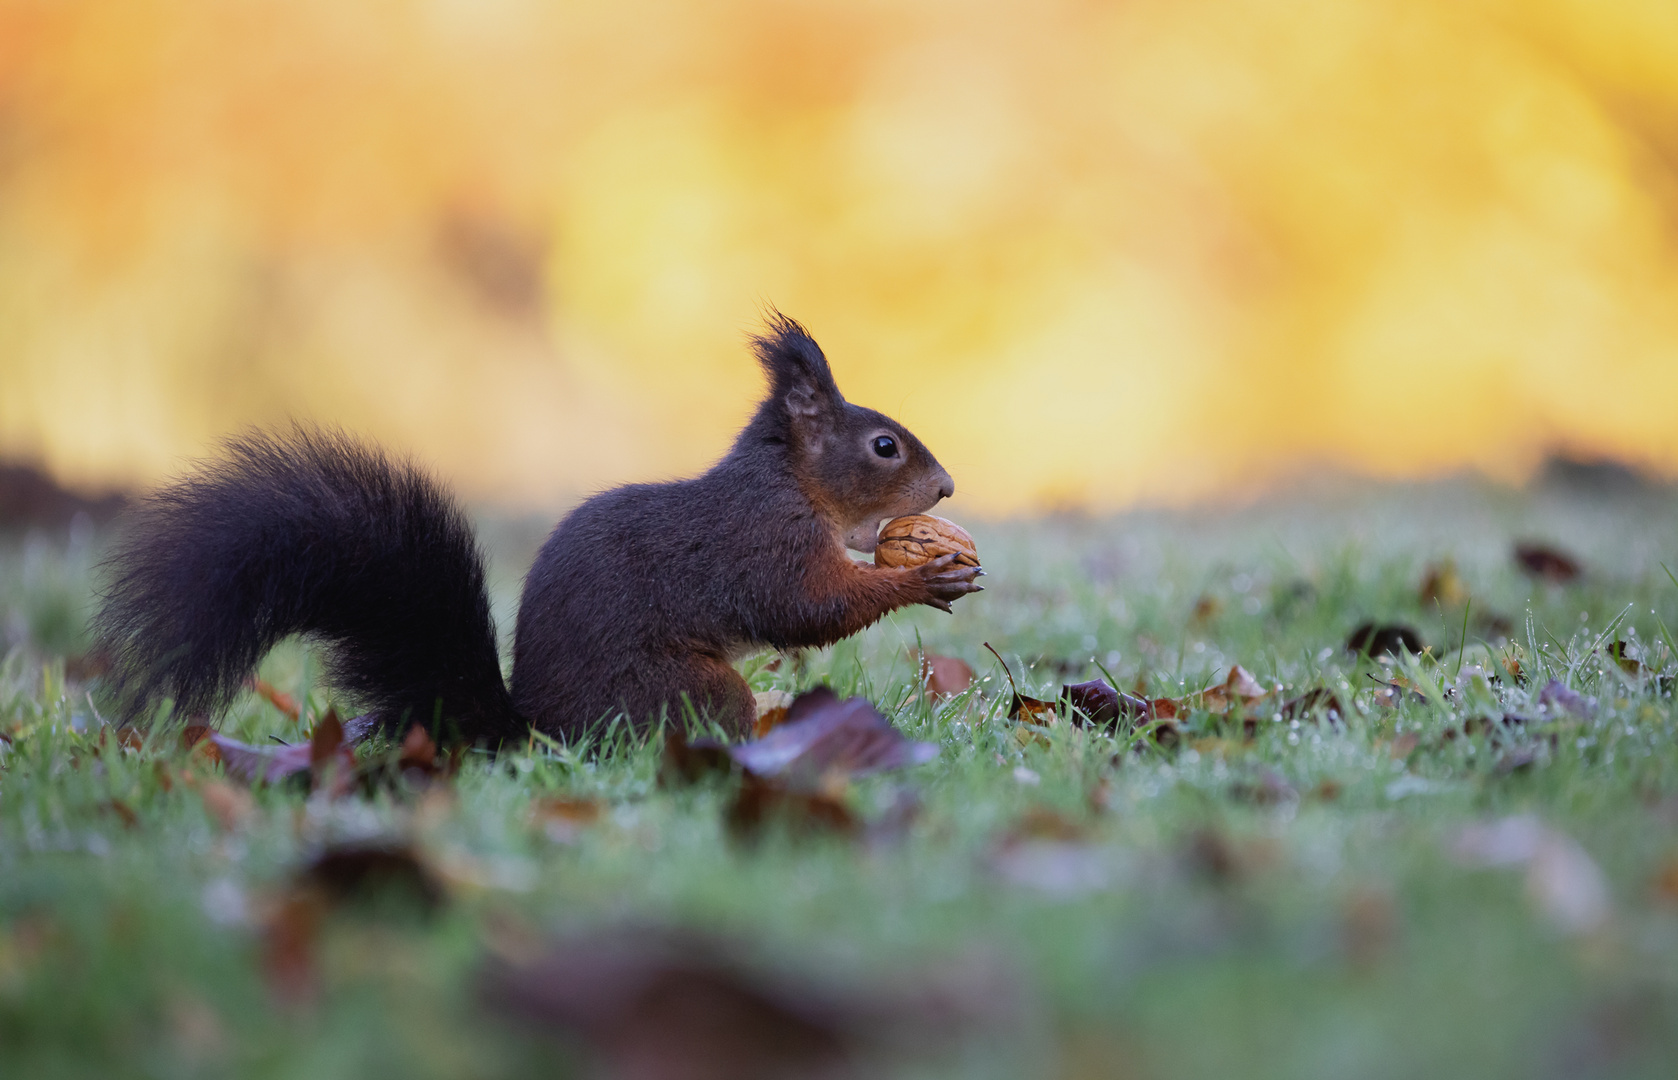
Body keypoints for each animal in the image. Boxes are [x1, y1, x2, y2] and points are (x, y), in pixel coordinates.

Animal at [95, 316, 979, 747]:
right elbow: (805, 609)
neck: (788, 482)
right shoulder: (763, 541)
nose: (946, 487)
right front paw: (920, 577)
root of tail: (535, 728)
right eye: (885, 446)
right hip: (680, 690)